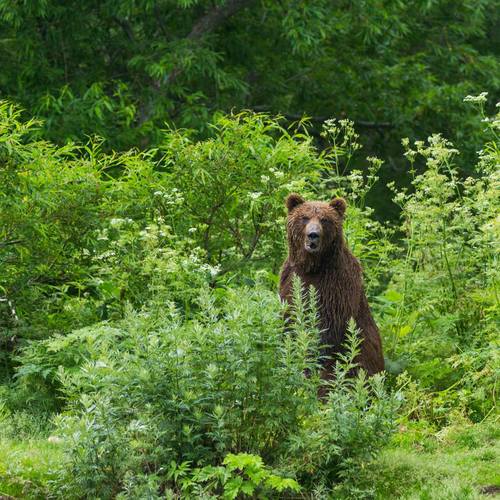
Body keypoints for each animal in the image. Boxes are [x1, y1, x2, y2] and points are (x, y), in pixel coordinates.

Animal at [280, 193, 384, 376]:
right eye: (305, 217)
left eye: (324, 219)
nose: (313, 235)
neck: (314, 266)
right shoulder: (290, 278)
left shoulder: (337, 284)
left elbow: (327, 326)